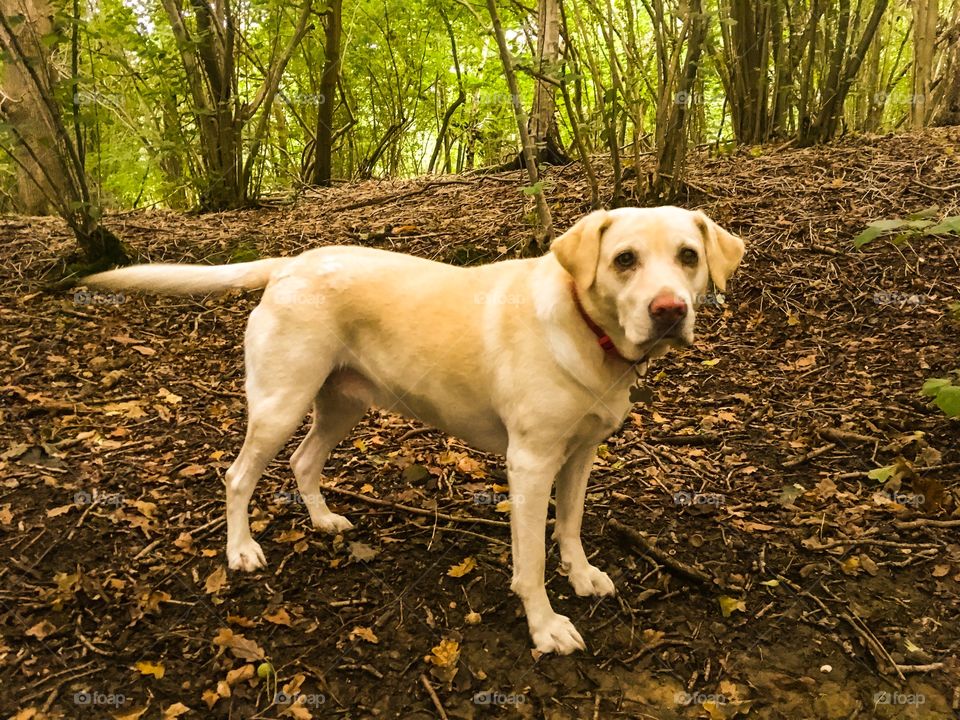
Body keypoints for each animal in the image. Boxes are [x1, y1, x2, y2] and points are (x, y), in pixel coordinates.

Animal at [84, 205, 744, 656]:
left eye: (688, 256)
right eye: (624, 260)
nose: (670, 311)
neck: (590, 332)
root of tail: (290, 262)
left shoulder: (580, 454)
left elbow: (571, 527)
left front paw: (580, 576)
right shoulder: (531, 463)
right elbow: (529, 560)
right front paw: (545, 626)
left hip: (341, 406)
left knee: (302, 462)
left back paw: (323, 520)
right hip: (279, 403)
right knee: (239, 475)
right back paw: (241, 550)